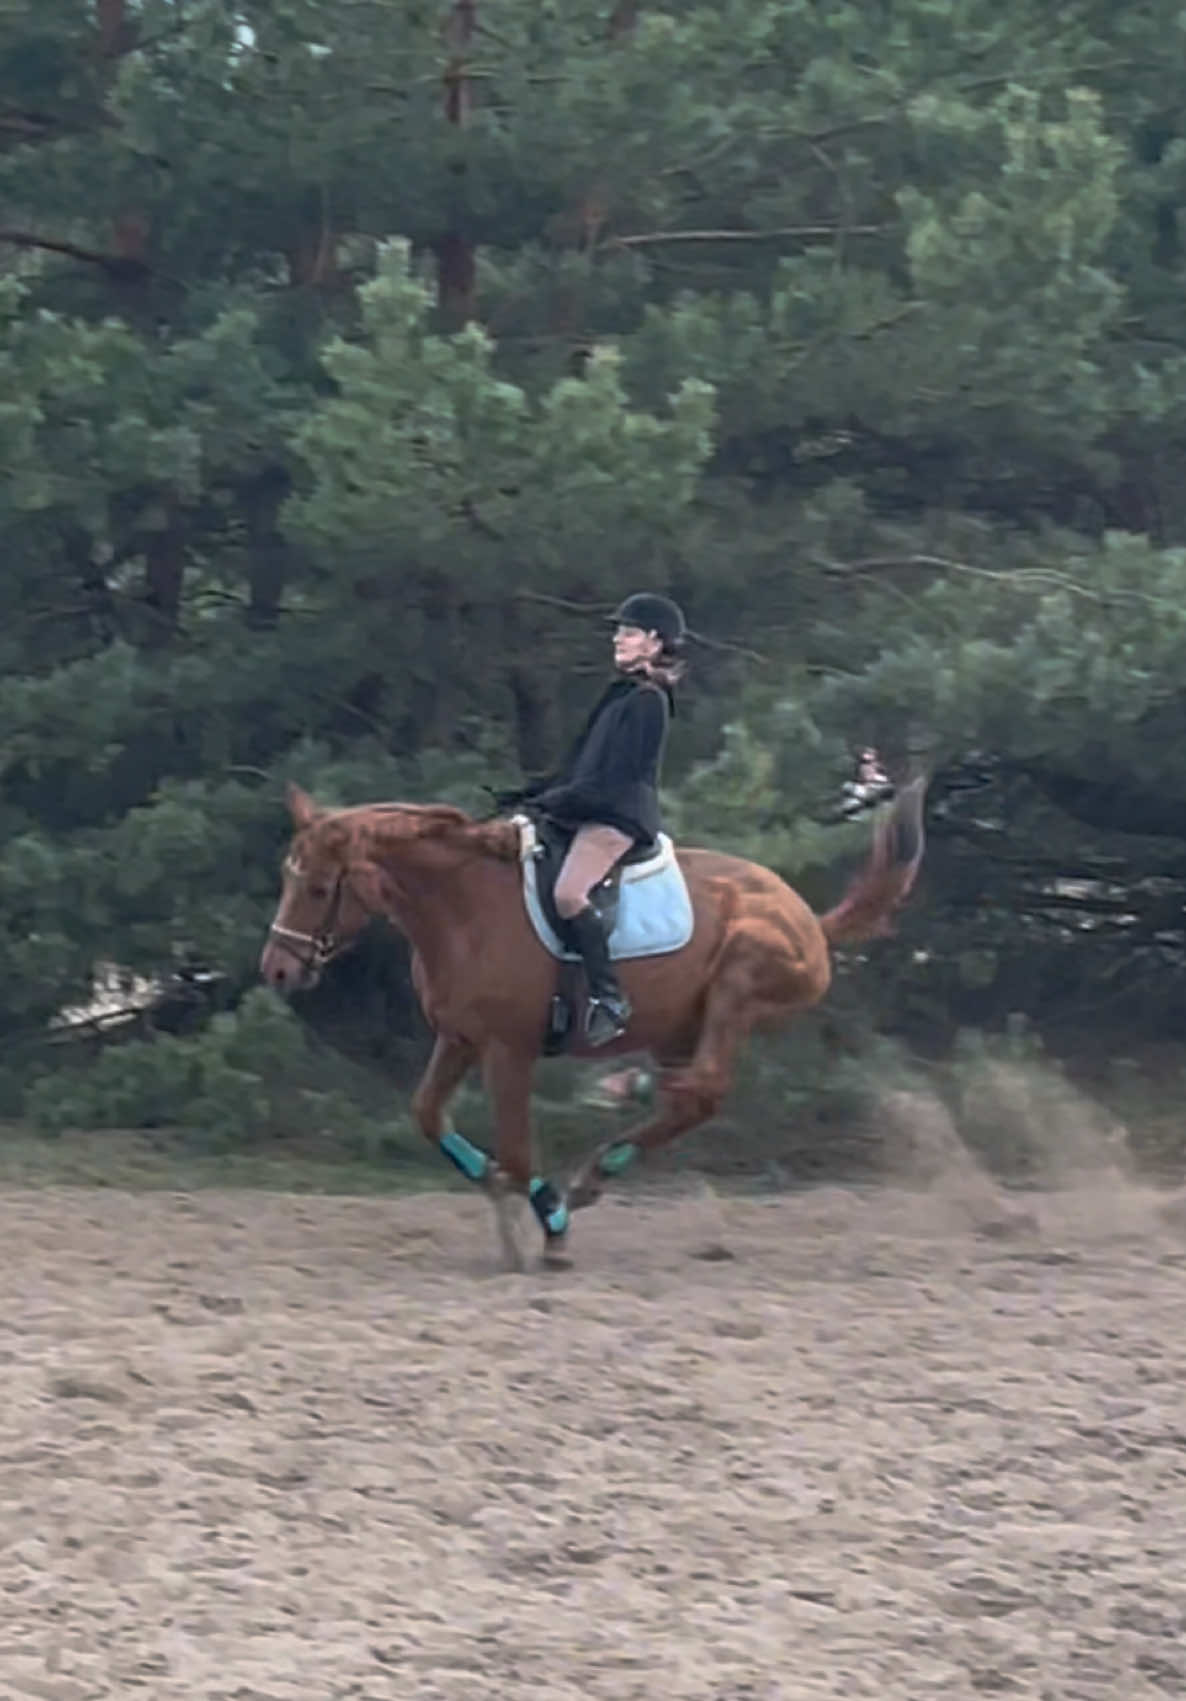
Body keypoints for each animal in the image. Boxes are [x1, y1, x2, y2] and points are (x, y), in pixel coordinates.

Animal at [259, 779, 927, 1268]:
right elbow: (428, 1114)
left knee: (703, 1090)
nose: (277, 970)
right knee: (687, 1099)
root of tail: (809, 919)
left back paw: (594, 1160)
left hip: (740, 982)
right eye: (288, 877)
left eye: (317, 887)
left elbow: (517, 1154)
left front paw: (542, 1225)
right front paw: (525, 1203)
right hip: (679, 1028)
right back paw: (593, 1171)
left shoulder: (508, 1049)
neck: (463, 908)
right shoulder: (459, 1038)